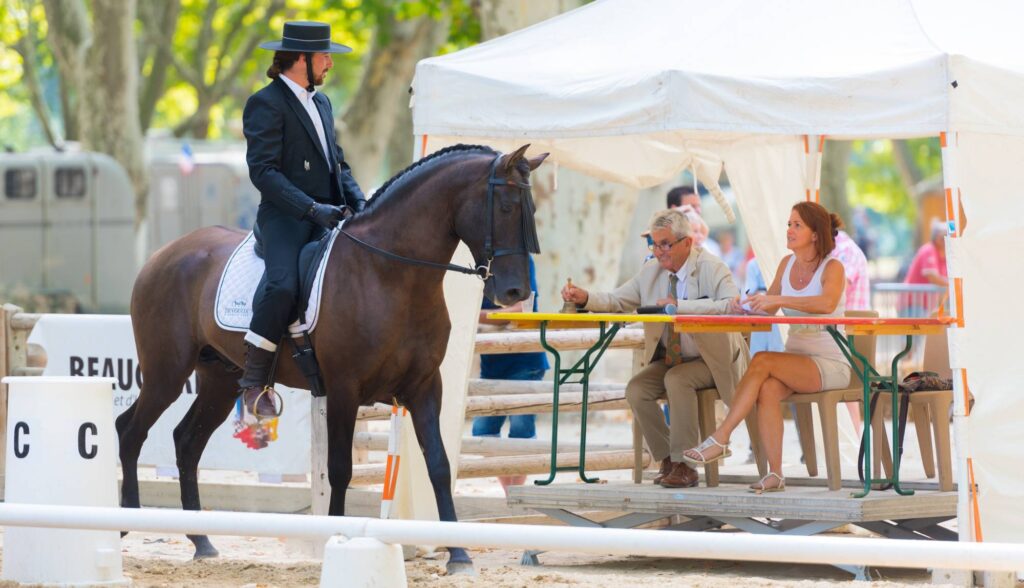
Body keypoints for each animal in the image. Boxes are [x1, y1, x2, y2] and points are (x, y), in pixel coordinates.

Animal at [116, 144, 548, 574]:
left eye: (531, 209)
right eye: (506, 207)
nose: (515, 292)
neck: (391, 274)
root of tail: (162, 254)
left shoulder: (425, 386)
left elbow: (439, 466)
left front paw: (458, 554)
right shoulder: (344, 388)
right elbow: (340, 469)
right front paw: (336, 538)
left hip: (220, 380)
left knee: (186, 441)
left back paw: (201, 541)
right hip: (166, 373)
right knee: (130, 430)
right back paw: (125, 524)